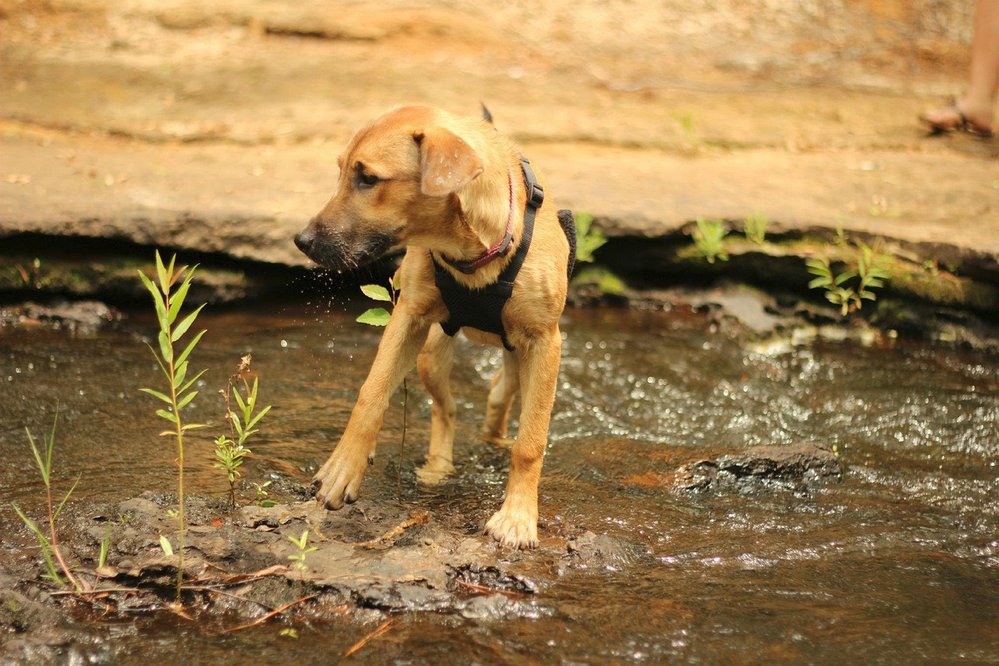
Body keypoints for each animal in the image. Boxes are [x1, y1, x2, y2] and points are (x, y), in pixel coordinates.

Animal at [292, 106, 572, 548]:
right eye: (341, 171)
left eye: (367, 178)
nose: (302, 241)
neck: (475, 251)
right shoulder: (409, 317)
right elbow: (371, 394)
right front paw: (343, 468)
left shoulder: (545, 342)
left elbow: (530, 442)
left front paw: (517, 517)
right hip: (431, 355)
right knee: (447, 409)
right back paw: (438, 467)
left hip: (524, 357)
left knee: (501, 393)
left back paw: (495, 437)